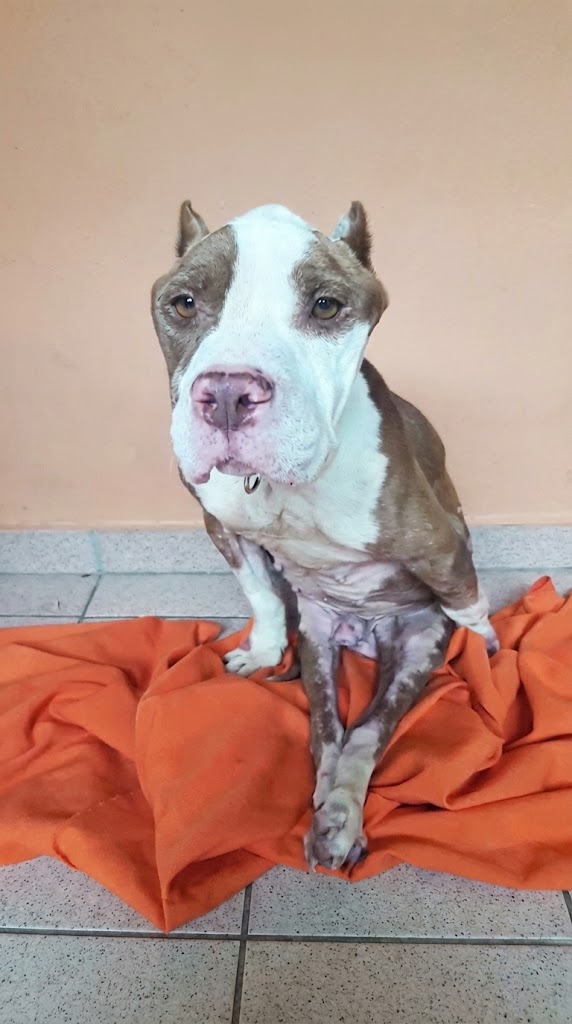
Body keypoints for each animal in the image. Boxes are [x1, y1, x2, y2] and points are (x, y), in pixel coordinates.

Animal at [151, 200, 499, 870]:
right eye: (183, 303)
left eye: (326, 306)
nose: (228, 393)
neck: (285, 486)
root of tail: (363, 638)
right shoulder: (220, 523)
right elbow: (261, 594)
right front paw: (262, 650)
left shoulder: (440, 543)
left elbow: (470, 599)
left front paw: (490, 647)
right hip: (316, 639)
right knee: (328, 732)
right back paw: (328, 808)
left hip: (415, 646)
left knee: (365, 731)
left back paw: (339, 817)